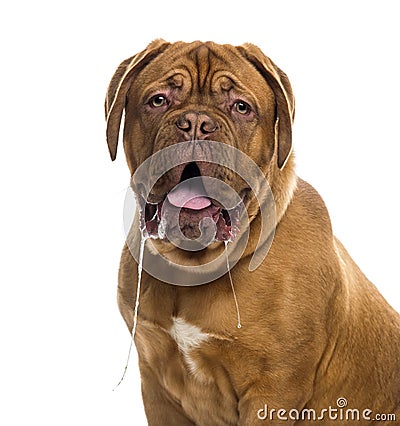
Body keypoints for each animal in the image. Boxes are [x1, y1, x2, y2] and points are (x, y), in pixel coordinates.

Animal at [106, 39, 400, 422]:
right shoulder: (157, 384)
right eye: (159, 100)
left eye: (241, 107)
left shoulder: (272, 392)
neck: (193, 265)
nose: (196, 123)